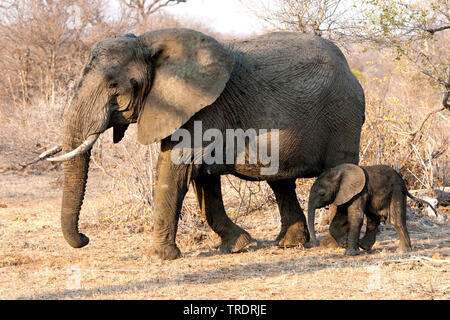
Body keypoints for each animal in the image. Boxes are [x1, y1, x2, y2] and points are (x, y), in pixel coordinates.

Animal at [45, 28, 364, 260]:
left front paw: (159, 257)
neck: (149, 44)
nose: (85, 239)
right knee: (280, 181)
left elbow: (176, 169)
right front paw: (238, 245)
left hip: (343, 116)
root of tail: (350, 70)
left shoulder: (202, 109)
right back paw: (288, 244)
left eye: (113, 86)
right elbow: (202, 179)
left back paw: (332, 245)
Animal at [306, 164, 436, 256]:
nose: (315, 244)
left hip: (396, 191)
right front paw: (344, 242)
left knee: (395, 220)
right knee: (373, 220)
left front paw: (350, 253)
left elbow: (356, 217)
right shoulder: (344, 194)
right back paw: (364, 246)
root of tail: (403, 183)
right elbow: (340, 216)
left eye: (322, 194)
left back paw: (402, 251)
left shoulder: (360, 192)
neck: (340, 172)